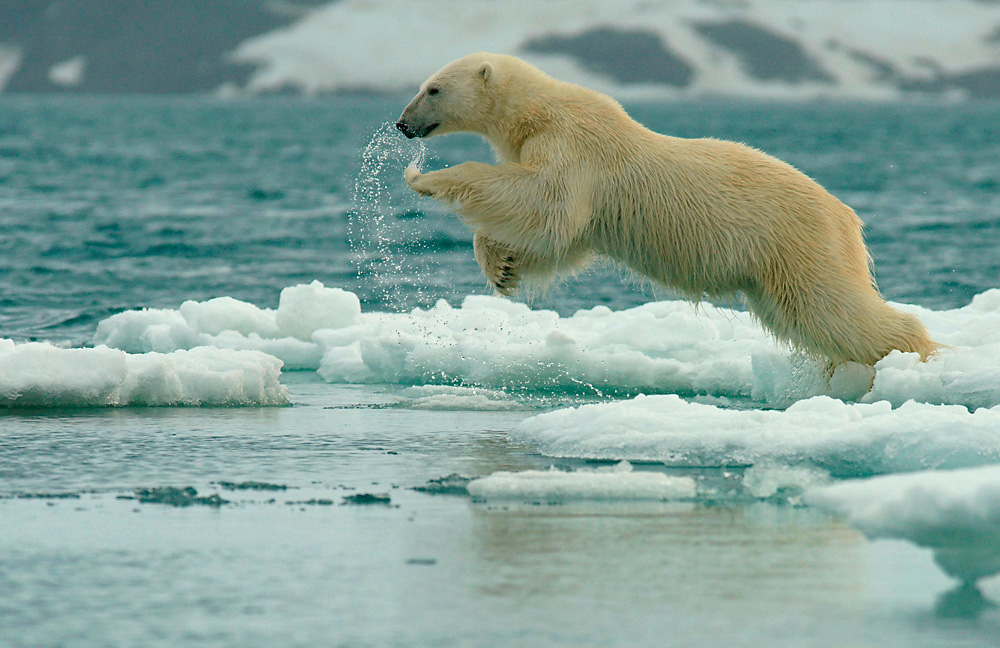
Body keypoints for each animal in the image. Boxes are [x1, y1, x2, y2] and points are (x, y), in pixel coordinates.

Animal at [396, 53, 936, 368]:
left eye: (433, 88)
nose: (402, 124)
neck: (539, 111)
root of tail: (847, 217)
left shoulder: (575, 146)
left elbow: (548, 206)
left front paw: (425, 178)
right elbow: (562, 238)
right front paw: (502, 268)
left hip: (796, 241)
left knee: (831, 307)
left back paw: (914, 356)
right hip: (775, 268)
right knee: (803, 316)